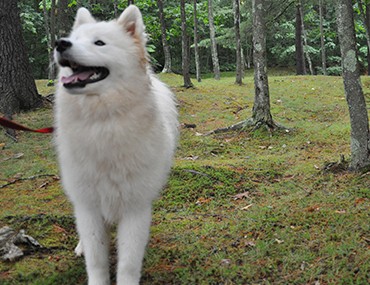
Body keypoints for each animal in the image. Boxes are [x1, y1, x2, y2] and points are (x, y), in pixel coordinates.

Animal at [53, 5, 178, 284]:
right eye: (75, 39)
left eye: (99, 43)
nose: (60, 43)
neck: (103, 121)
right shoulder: (88, 204)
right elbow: (96, 259)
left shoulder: (135, 207)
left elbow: (128, 263)